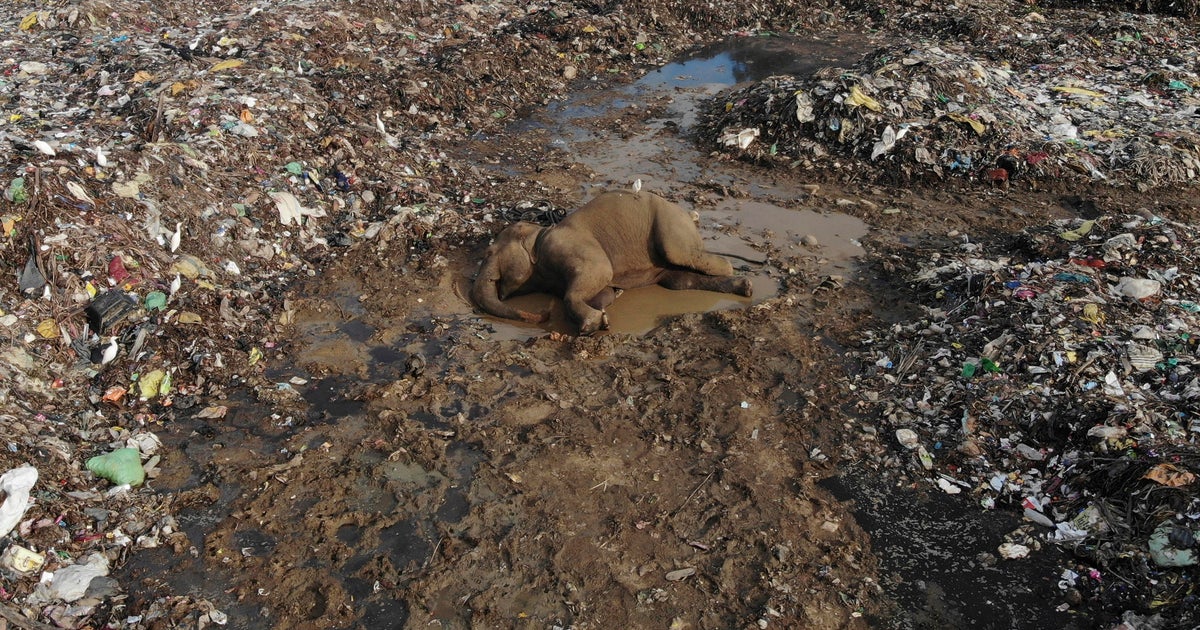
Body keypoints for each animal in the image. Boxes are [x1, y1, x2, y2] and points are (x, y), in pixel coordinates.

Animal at [472, 189, 752, 333]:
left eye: (488, 253)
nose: (544, 314)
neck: (539, 233)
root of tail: (689, 215)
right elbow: (602, 290)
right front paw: (605, 312)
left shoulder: (568, 245)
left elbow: (600, 272)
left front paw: (593, 325)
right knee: (680, 281)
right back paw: (744, 286)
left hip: (670, 224)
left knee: (682, 254)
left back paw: (734, 272)